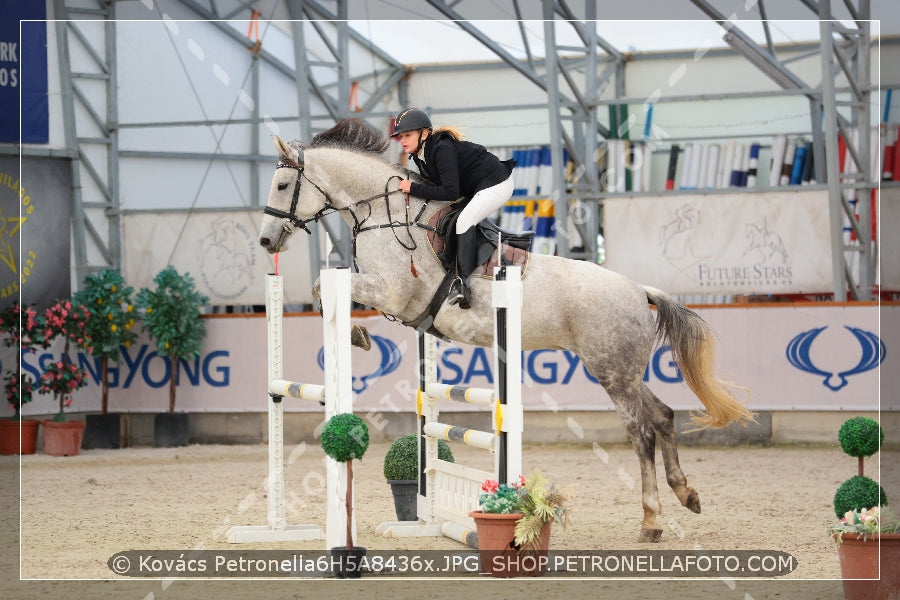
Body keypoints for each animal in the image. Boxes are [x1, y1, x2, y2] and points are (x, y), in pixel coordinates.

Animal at [256, 118, 748, 544]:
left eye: (281, 185)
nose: (265, 241)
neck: (384, 212)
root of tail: (637, 289)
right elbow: (323, 289)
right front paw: (356, 337)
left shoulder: (393, 293)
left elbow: (325, 288)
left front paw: (357, 338)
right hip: (620, 369)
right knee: (663, 415)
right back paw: (687, 495)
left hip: (612, 372)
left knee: (641, 432)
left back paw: (651, 522)